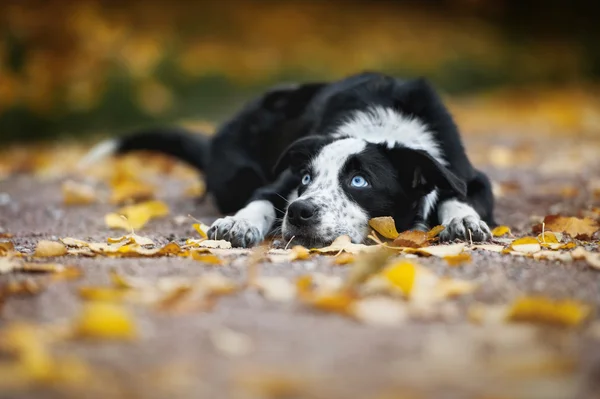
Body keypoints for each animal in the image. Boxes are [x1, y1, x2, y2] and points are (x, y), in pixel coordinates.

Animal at [79, 71, 496, 247]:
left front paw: (463, 221)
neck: (386, 125)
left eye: (359, 181)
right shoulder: (281, 182)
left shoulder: (469, 176)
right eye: (307, 178)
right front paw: (238, 224)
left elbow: (459, 194)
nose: (299, 212)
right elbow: (263, 201)